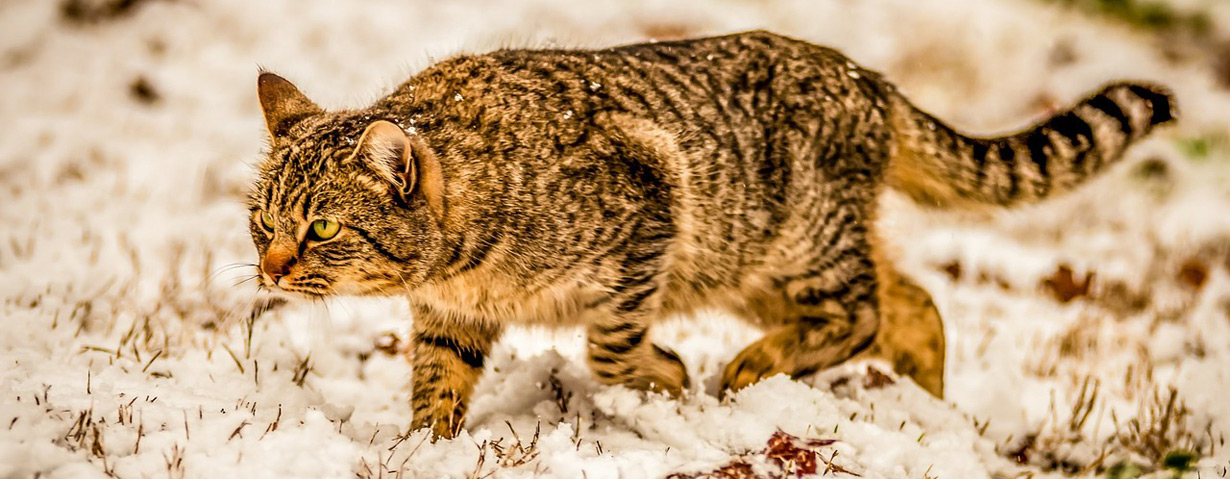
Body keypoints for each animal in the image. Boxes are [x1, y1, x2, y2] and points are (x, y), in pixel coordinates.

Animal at [247, 31, 1170, 438]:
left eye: (322, 225)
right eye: (261, 220)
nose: (271, 268)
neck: (461, 265)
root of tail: (869, 79)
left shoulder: (650, 213)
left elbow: (613, 345)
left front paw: (665, 375)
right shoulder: (452, 316)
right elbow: (436, 386)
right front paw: (422, 451)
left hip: (797, 245)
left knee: (866, 307)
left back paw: (754, 367)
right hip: (765, 265)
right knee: (914, 299)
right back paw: (928, 408)